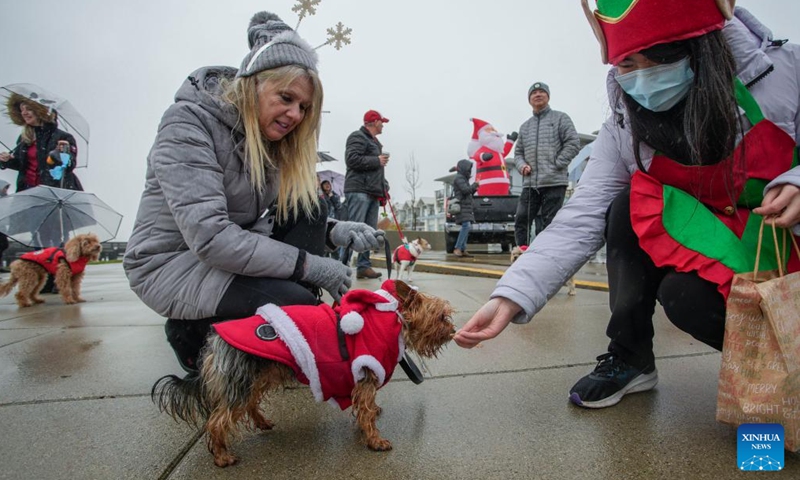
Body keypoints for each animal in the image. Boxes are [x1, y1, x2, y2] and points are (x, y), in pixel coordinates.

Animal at [150, 280, 450, 466]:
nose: (451, 329)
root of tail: (214, 342)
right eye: (440, 316)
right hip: (242, 379)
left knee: (249, 403)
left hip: (261, 374)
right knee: (217, 420)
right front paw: (375, 440)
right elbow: (365, 410)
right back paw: (223, 456)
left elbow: (365, 407)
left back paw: (261, 422)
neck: (393, 319)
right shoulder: (366, 372)